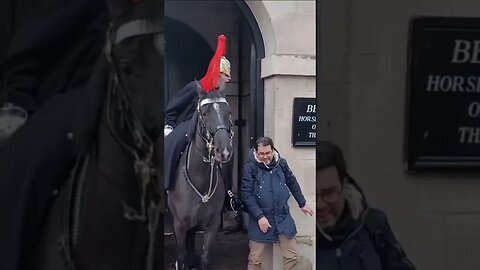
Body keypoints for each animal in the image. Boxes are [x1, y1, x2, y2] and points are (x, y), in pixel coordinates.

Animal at [168, 83, 235, 270]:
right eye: (204, 113)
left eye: (228, 112)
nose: (224, 151)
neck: (200, 179)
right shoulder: (179, 224)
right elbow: (182, 257)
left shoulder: (212, 225)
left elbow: (205, 258)